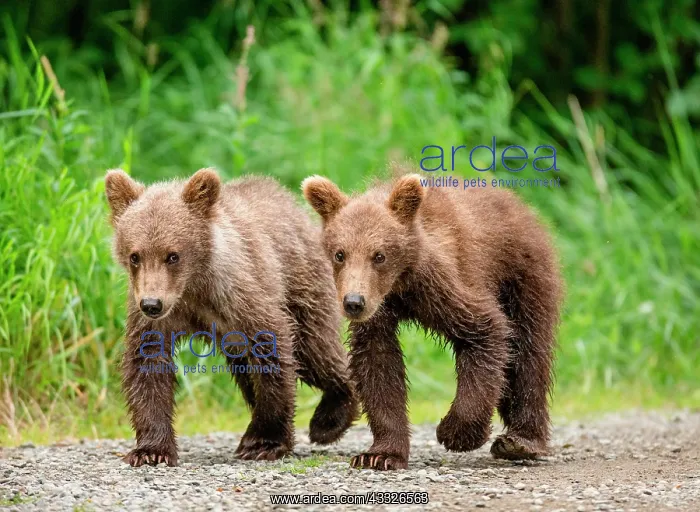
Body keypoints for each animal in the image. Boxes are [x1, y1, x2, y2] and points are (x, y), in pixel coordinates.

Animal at [105, 168, 359, 467]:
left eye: (172, 255)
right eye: (135, 256)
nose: (152, 304)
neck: (192, 289)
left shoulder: (238, 294)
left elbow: (272, 349)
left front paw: (265, 442)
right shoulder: (156, 317)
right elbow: (147, 363)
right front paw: (151, 450)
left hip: (302, 285)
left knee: (315, 352)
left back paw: (328, 421)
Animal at [302, 170, 563, 470]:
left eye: (379, 255)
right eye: (340, 254)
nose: (354, 302)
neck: (400, 286)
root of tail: (520, 205)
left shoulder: (442, 285)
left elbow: (486, 330)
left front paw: (455, 433)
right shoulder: (380, 311)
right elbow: (378, 364)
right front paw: (379, 454)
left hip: (524, 274)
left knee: (529, 352)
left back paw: (521, 441)